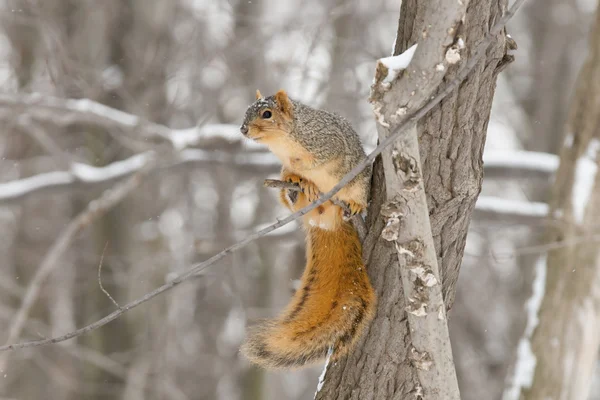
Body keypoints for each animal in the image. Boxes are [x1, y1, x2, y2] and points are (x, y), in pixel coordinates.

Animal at [238, 90, 376, 368]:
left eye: (267, 114)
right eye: (247, 110)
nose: (243, 129)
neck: (284, 144)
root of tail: (326, 223)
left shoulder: (327, 142)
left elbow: (320, 160)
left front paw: (304, 168)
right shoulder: (284, 163)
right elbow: (289, 171)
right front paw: (296, 178)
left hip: (360, 182)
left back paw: (353, 204)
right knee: (290, 198)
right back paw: (300, 191)